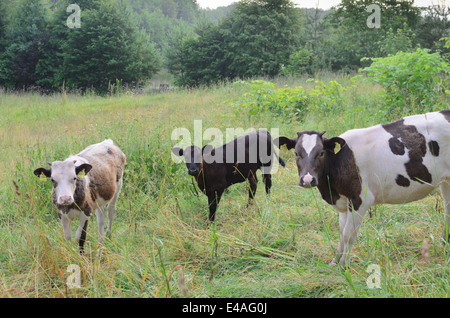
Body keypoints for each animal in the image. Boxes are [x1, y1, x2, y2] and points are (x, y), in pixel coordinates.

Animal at [276, 110, 450, 268]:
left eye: (321, 153)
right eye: (296, 153)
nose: (307, 180)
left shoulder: (360, 199)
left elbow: (348, 234)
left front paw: (344, 266)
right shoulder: (344, 200)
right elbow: (341, 232)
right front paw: (335, 261)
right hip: (446, 181)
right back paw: (444, 245)